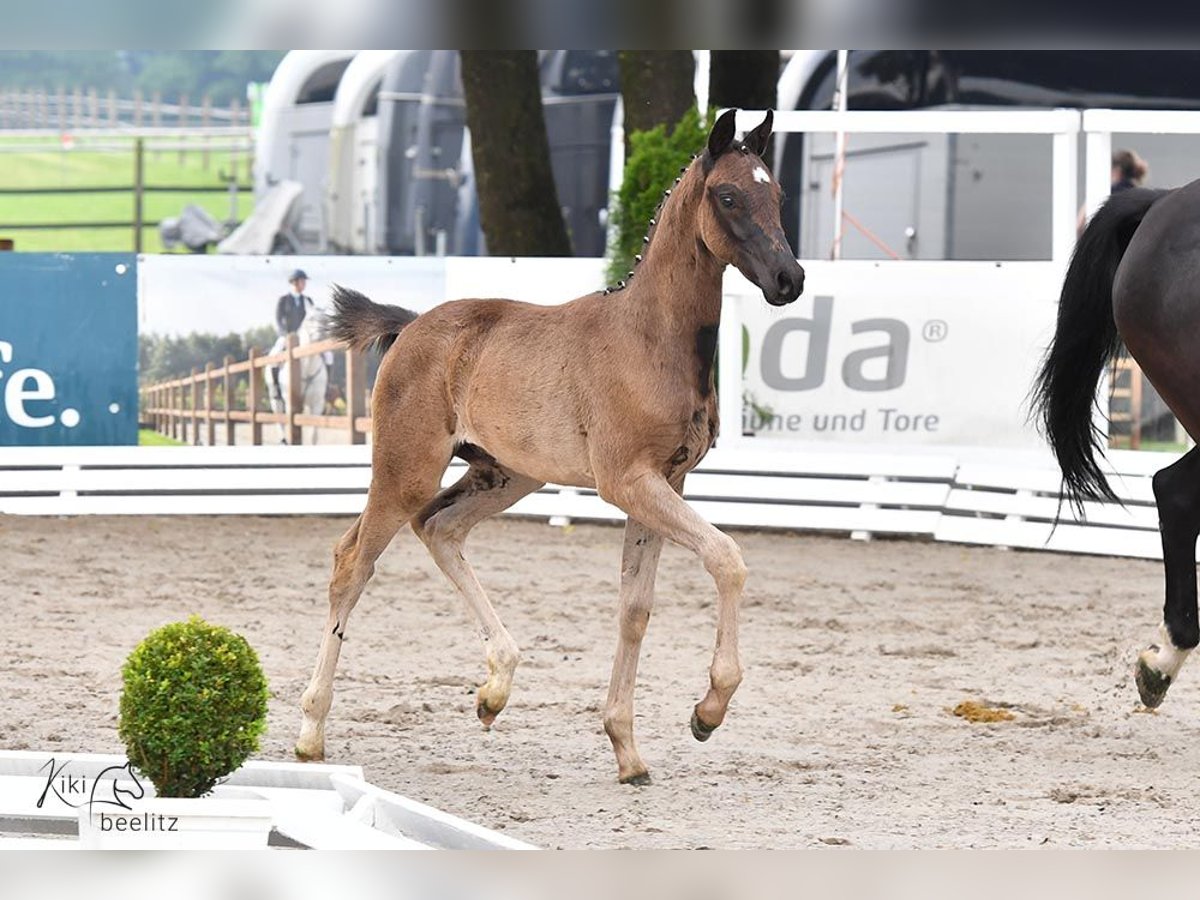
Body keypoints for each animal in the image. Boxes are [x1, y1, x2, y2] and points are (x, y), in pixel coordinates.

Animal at [296, 109, 806, 787]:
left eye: (778, 196)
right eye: (727, 196)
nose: (789, 279)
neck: (651, 338)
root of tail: (410, 326)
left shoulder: (666, 483)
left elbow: (635, 607)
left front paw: (627, 751)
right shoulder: (629, 481)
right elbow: (727, 558)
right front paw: (708, 710)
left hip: (509, 475)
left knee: (440, 528)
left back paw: (495, 690)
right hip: (407, 469)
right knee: (353, 560)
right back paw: (311, 732)